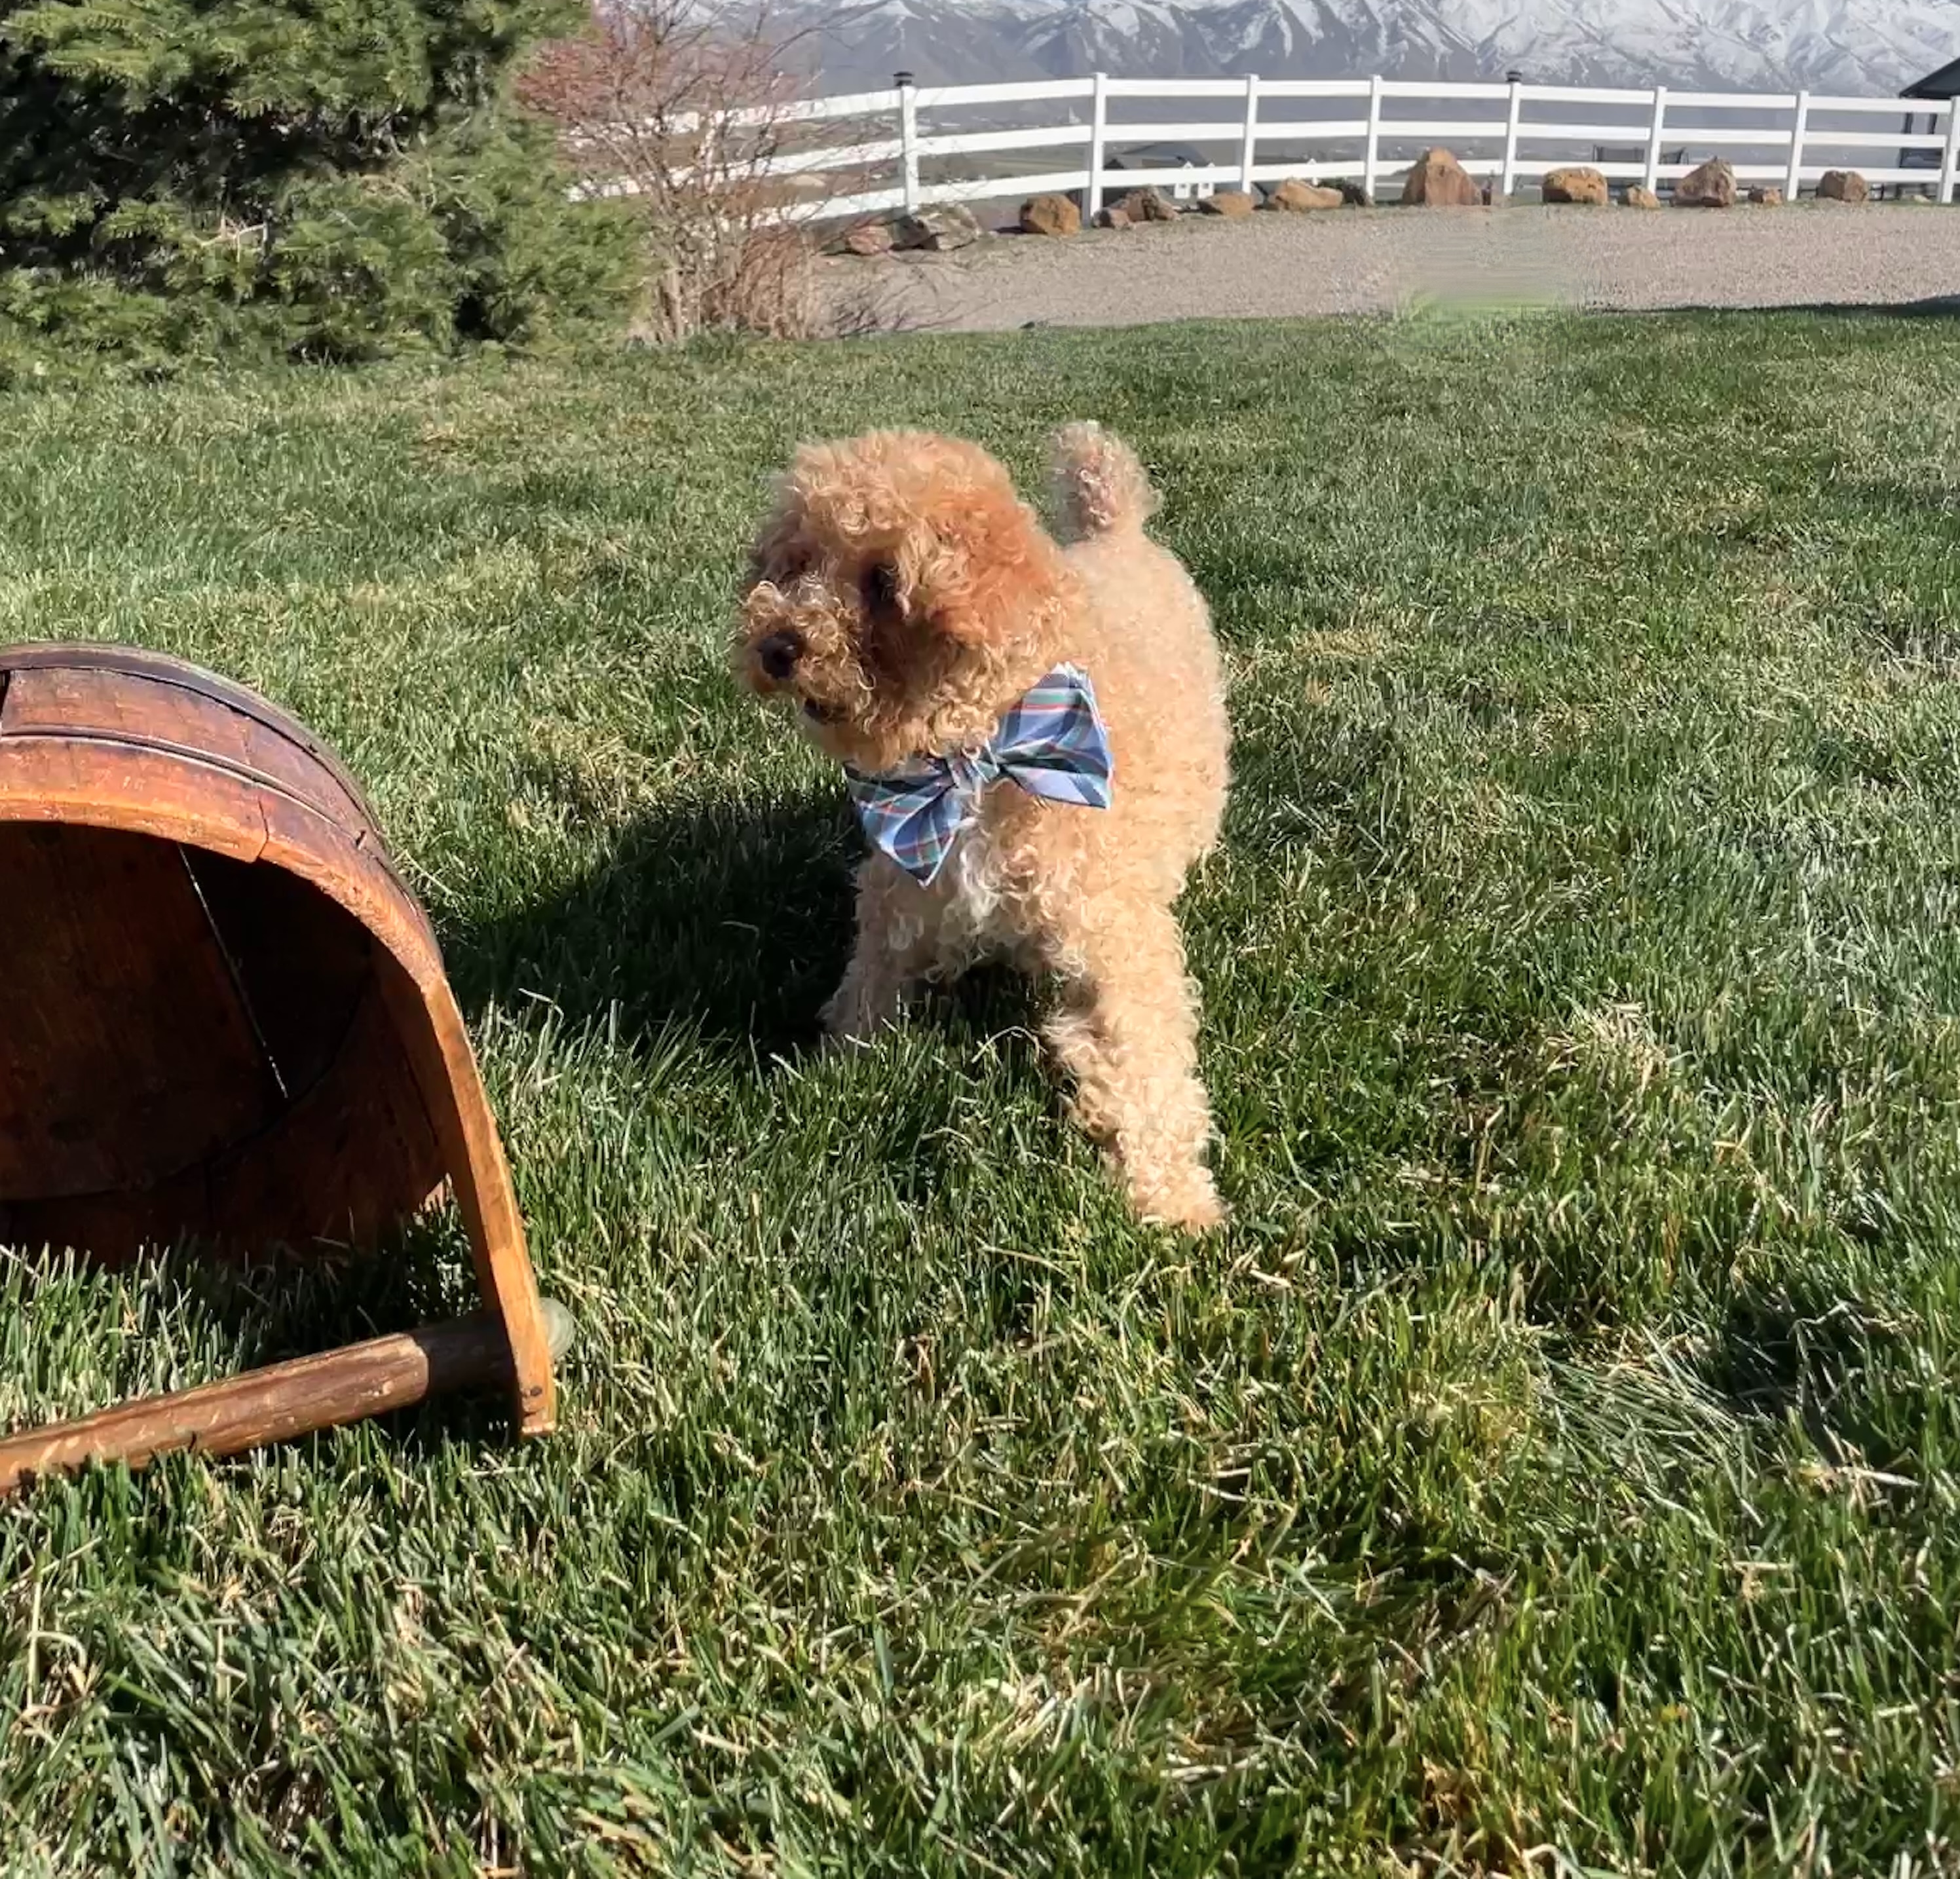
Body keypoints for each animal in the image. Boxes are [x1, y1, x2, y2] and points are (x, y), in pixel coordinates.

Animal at [736, 419, 1223, 1230]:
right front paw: (836, 1072)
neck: (980, 753)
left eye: (883, 581)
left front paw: (1173, 1199)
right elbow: (867, 985)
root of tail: (1116, 529)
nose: (776, 645)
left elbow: (1151, 1056)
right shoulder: (901, 886)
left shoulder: (1119, 931)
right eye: (797, 562)